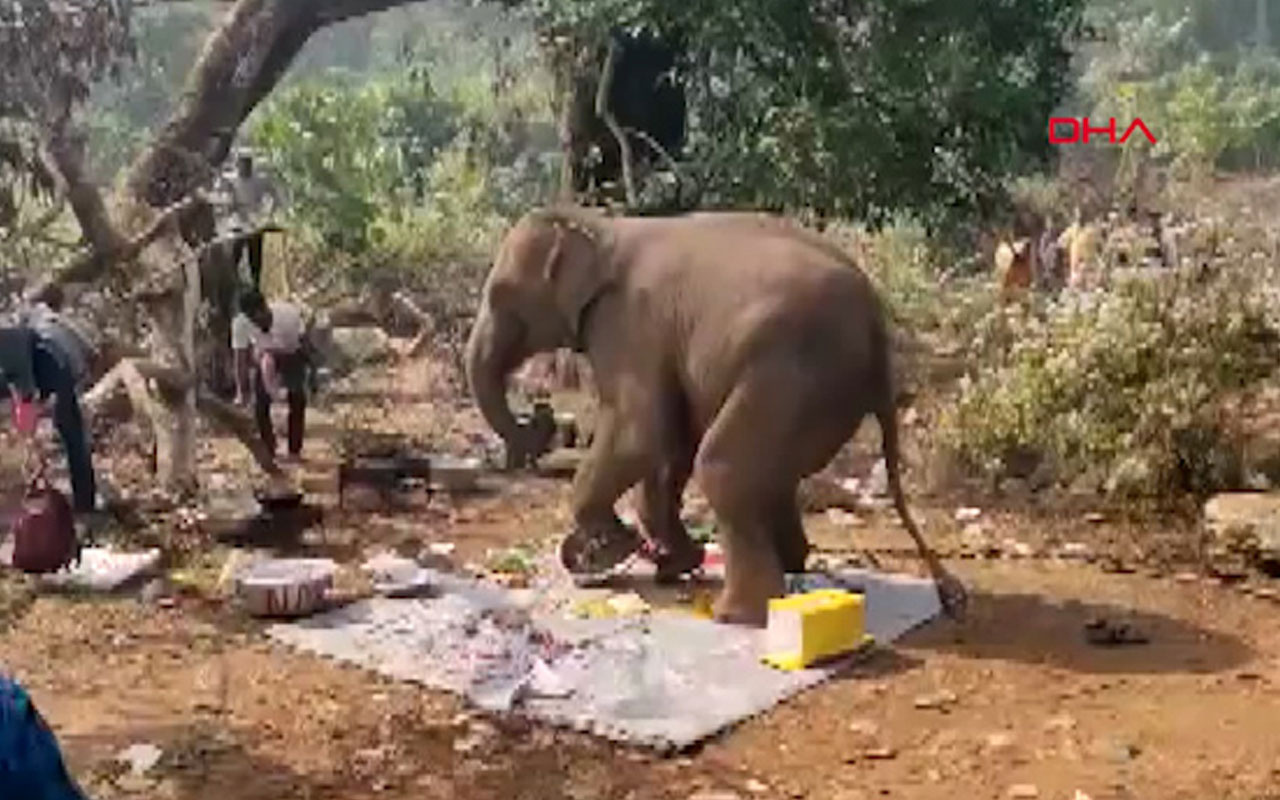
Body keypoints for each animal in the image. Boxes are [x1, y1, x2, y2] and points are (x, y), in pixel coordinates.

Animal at [465, 204, 962, 624]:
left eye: (501, 296)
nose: (539, 420)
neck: (598, 223)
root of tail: (878, 326)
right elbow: (669, 439)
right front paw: (670, 565)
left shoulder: (628, 324)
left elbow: (640, 431)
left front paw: (616, 550)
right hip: (820, 391)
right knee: (770, 475)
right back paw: (790, 569)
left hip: (794, 371)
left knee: (724, 467)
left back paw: (737, 614)